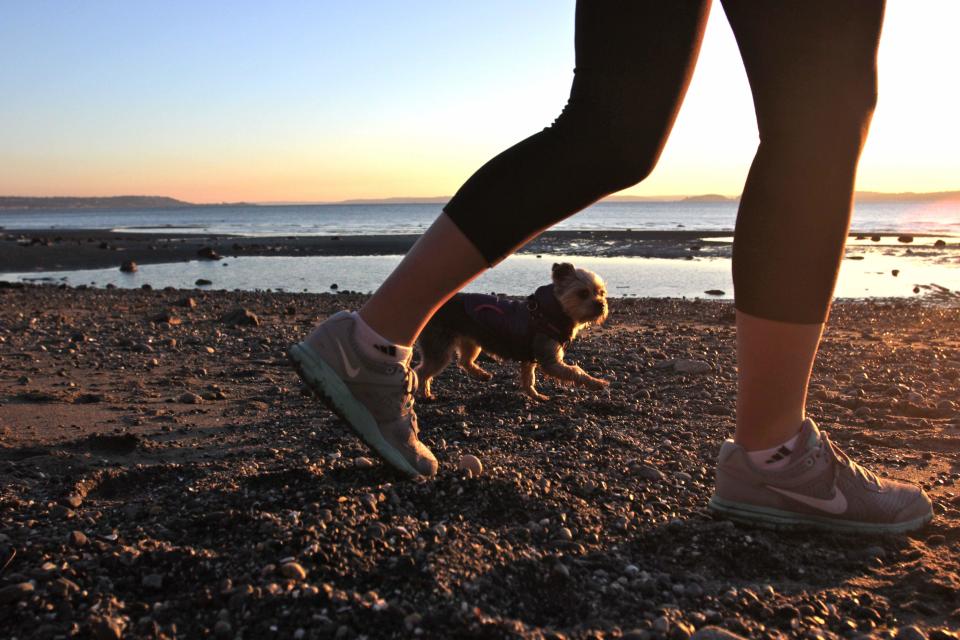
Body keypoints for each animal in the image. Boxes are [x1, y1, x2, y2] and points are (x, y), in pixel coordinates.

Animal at [412, 262, 608, 400]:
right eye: (583, 293)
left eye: (602, 293)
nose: (602, 305)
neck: (551, 311)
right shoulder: (550, 360)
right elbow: (576, 370)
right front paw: (597, 382)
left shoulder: (530, 357)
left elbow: (529, 379)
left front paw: (536, 396)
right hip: (439, 348)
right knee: (421, 372)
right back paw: (423, 394)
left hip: (472, 340)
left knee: (465, 361)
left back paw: (482, 375)